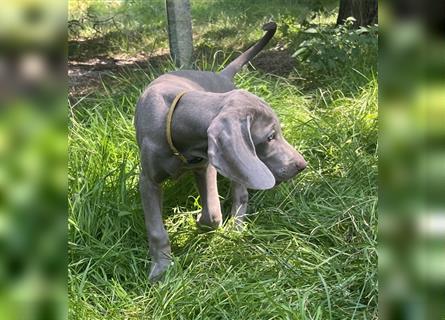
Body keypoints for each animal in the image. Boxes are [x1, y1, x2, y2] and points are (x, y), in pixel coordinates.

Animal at [134, 21, 306, 280]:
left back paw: (237, 227)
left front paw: (199, 221)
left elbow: (213, 213)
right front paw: (161, 270)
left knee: (241, 194)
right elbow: (156, 231)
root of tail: (221, 75)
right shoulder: (148, 180)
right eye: (270, 137)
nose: (301, 165)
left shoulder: (205, 166)